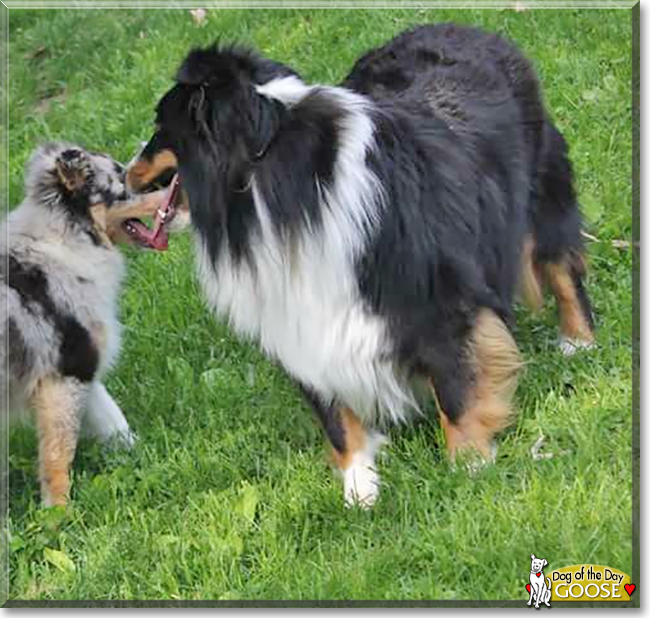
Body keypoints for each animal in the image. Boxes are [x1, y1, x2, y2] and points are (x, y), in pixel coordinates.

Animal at [126, 24, 592, 506]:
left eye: (160, 128)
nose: (124, 172)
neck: (278, 185)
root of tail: (470, 28)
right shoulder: (297, 313)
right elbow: (334, 414)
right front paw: (359, 489)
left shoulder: (440, 301)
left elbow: (457, 386)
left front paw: (469, 466)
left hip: (544, 194)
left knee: (562, 267)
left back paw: (578, 342)